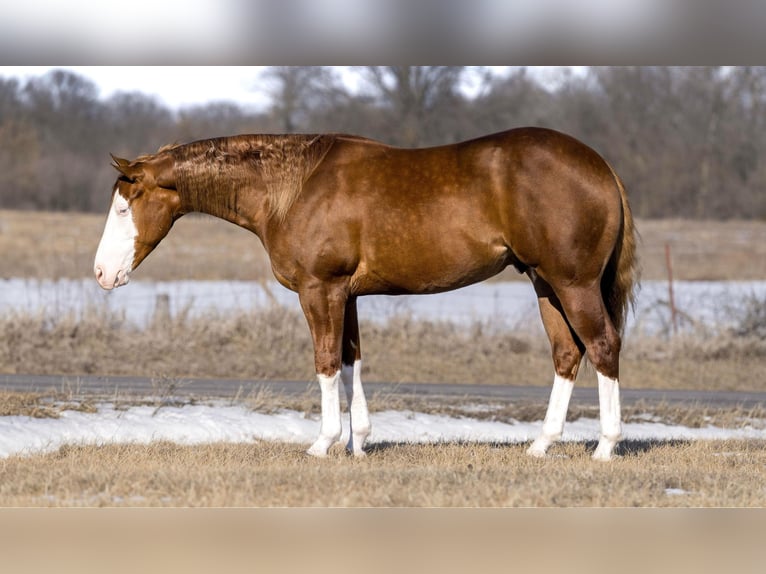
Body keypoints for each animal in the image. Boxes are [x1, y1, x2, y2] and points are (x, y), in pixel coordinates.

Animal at [93, 129, 640, 464]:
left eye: (124, 207)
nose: (101, 273)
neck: (293, 189)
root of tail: (602, 167)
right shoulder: (347, 295)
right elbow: (351, 359)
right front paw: (358, 444)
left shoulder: (320, 290)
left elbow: (325, 362)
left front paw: (324, 443)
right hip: (545, 284)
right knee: (568, 353)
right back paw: (541, 446)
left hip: (573, 284)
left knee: (603, 346)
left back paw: (606, 447)